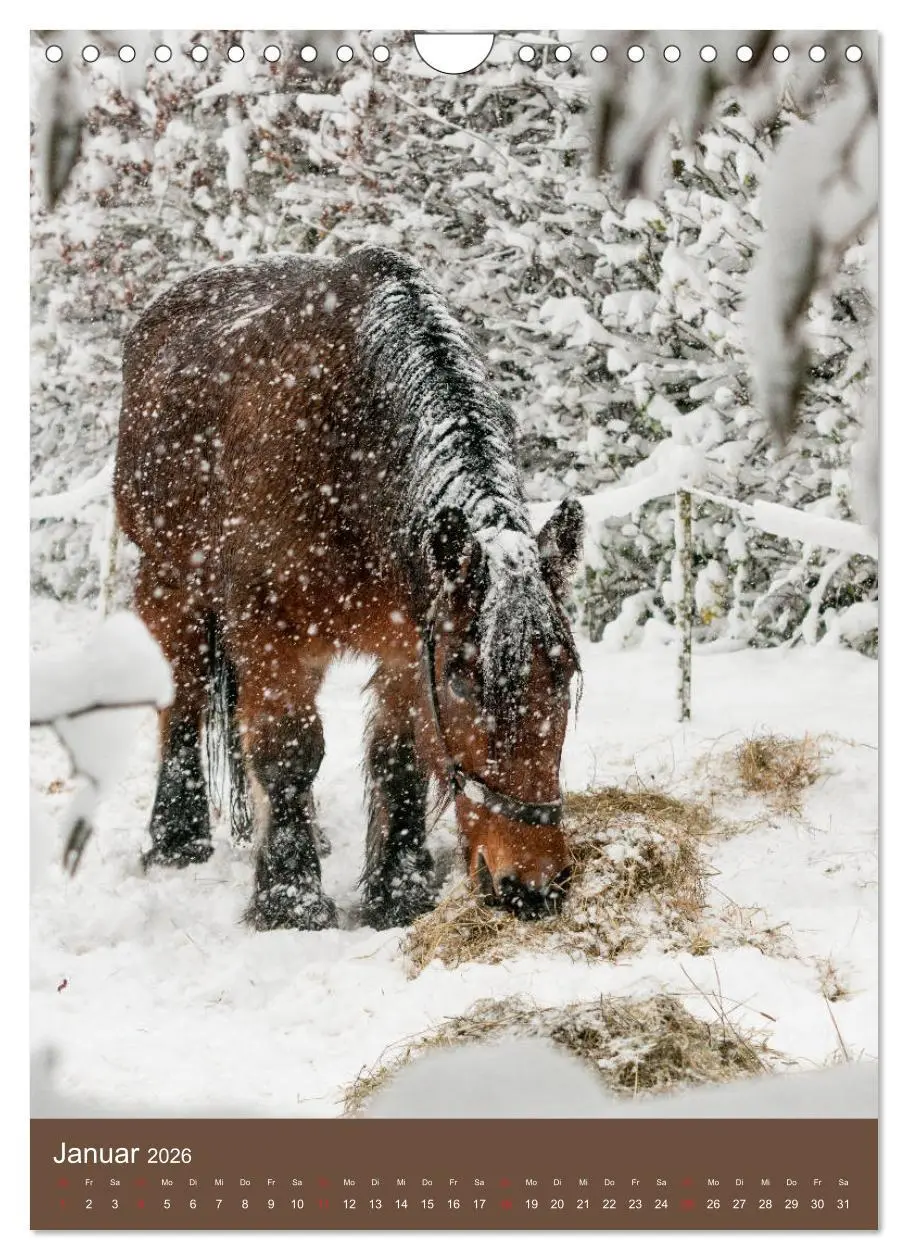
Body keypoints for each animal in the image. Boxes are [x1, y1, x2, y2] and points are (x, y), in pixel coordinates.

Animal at [114, 246, 584, 931]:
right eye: (463, 680)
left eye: (566, 674)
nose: (533, 885)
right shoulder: (270, 631)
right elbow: (288, 751)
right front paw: (289, 899)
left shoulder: (408, 641)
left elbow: (399, 756)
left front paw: (398, 890)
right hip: (170, 584)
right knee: (185, 698)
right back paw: (177, 838)